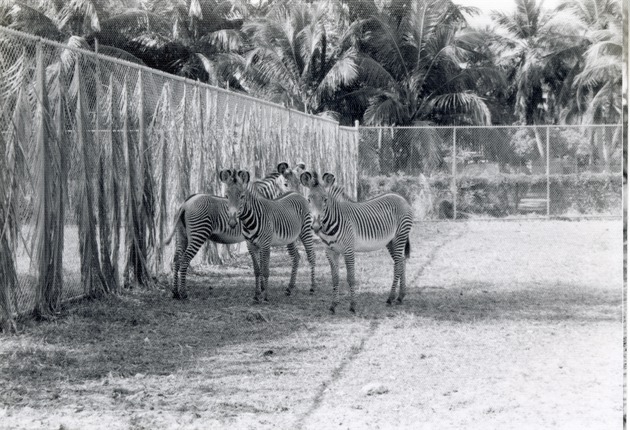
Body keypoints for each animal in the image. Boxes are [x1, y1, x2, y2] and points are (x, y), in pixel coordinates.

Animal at [162, 161, 302, 298]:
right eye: (286, 184)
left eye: (299, 183)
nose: (297, 197)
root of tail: (186, 202)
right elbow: (261, 261)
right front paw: (262, 287)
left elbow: (260, 262)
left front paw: (262, 287)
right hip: (198, 233)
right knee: (185, 259)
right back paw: (183, 293)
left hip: (181, 234)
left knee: (176, 259)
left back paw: (175, 292)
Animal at [218, 168, 316, 302]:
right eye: (226, 196)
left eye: (242, 196)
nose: (232, 222)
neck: (249, 220)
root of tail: (297, 194)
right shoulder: (251, 245)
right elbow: (257, 270)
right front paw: (257, 294)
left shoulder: (265, 244)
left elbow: (265, 270)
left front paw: (265, 296)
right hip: (290, 238)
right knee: (296, 257)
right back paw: (289, 288)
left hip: (305, 231)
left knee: (311, 256)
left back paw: (312, 288)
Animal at [302, 170, 414, 314]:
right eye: (309, 199)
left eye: (325, 199)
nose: (316, 227)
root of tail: (401, 197)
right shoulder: (330, 252)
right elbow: (335, 278)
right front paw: (333, 305)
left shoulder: (348, 250)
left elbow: (350, 278)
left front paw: (353, 305)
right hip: (391, 241)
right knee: (401, 261)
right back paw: (400, 296)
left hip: (400, 236)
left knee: (398, 265)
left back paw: (390, 298)